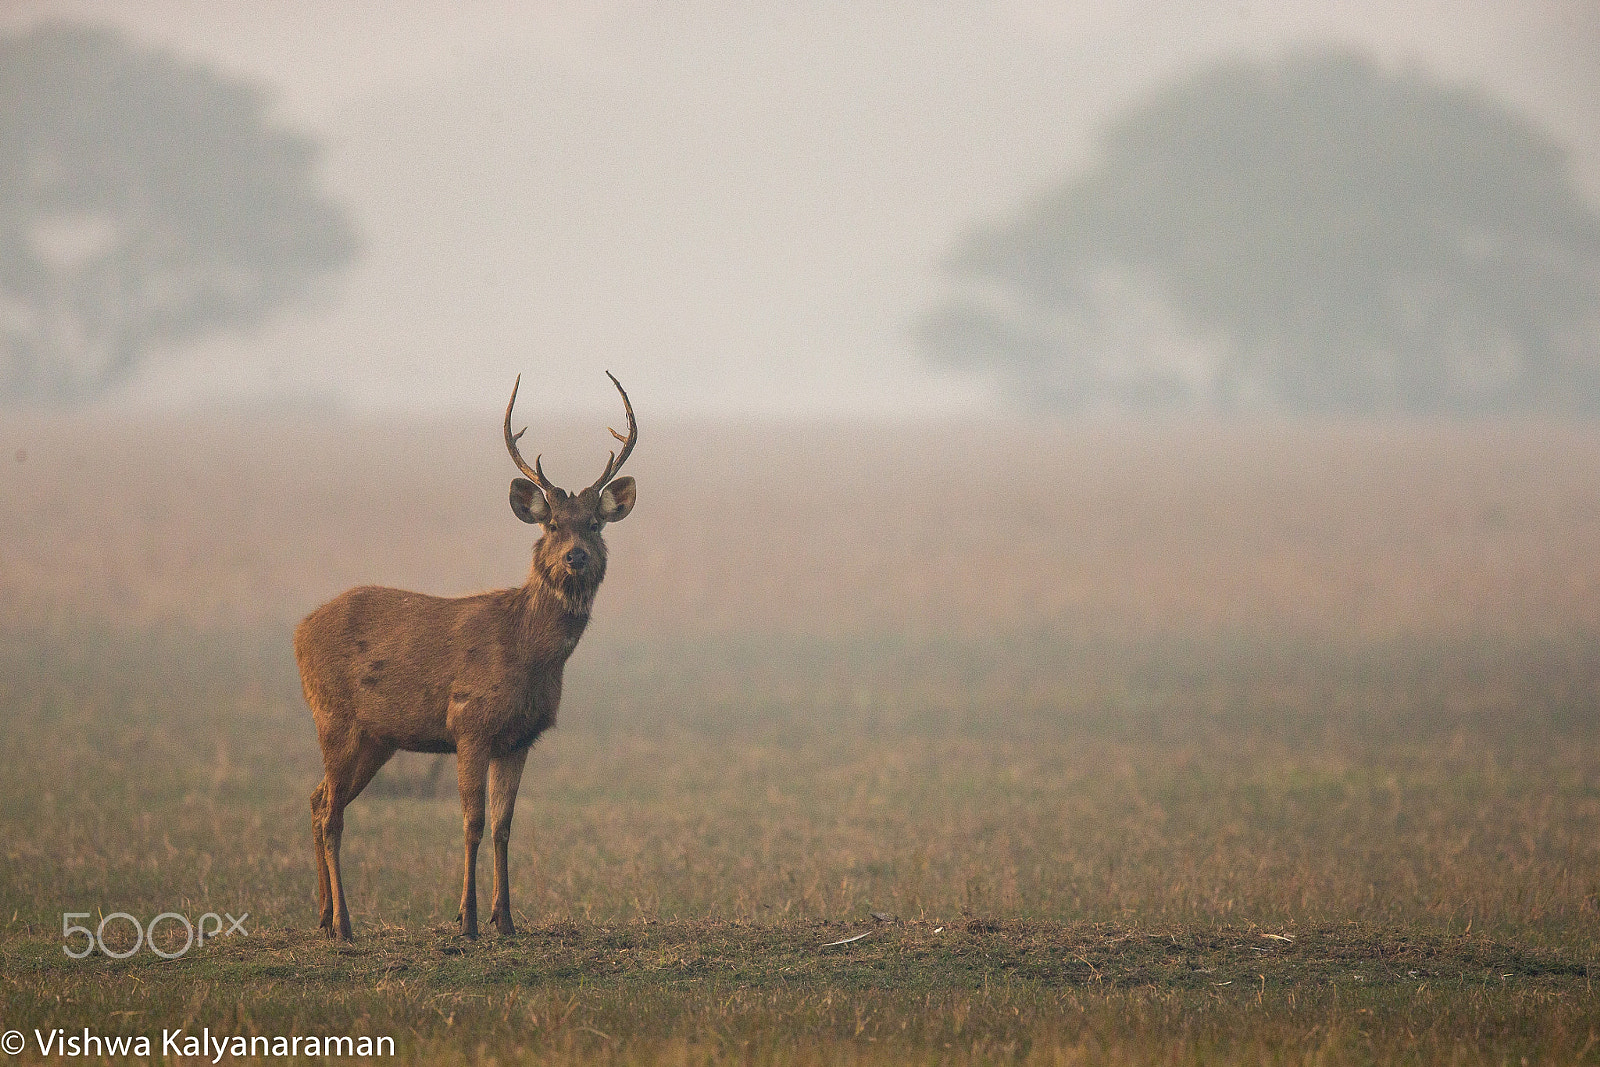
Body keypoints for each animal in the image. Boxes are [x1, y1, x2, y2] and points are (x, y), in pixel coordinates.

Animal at [297, 371, 633, 940]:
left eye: (594, 523)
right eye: (551, 525)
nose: (576, 557)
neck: (528, 653)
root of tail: (299, 631)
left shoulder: (518, 737)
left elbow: (503, 825)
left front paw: (506, 919)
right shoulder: (469, 723)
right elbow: (472, 823)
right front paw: (468, 919)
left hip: (376, 737)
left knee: (320, 798)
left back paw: (322, 915)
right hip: (333, 716)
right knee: (331, 813)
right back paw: (343, 923)